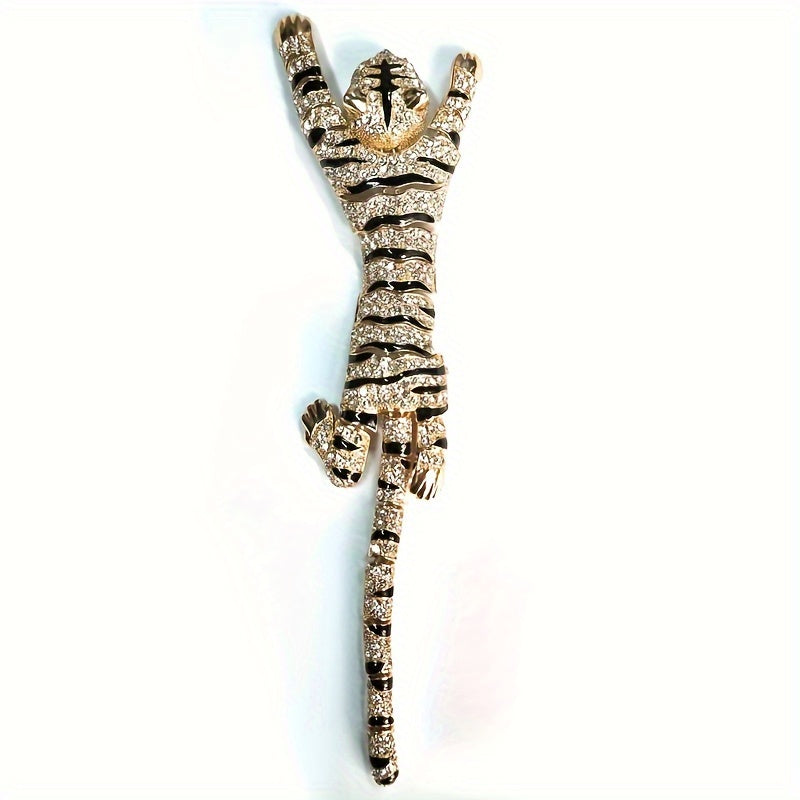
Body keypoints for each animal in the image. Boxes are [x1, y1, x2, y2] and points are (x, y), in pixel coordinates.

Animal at [275, 14, 481, 786]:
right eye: (375, 72)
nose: (388, 53)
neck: (391, 142)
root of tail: (393, 403)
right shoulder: (366, 152)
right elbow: (316, 99)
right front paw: (296, 31)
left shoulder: (427, 152)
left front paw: (467, 63)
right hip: (379, 386)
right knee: (349, 463)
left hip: (420, 379)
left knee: (365, 459)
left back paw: (409, 464)